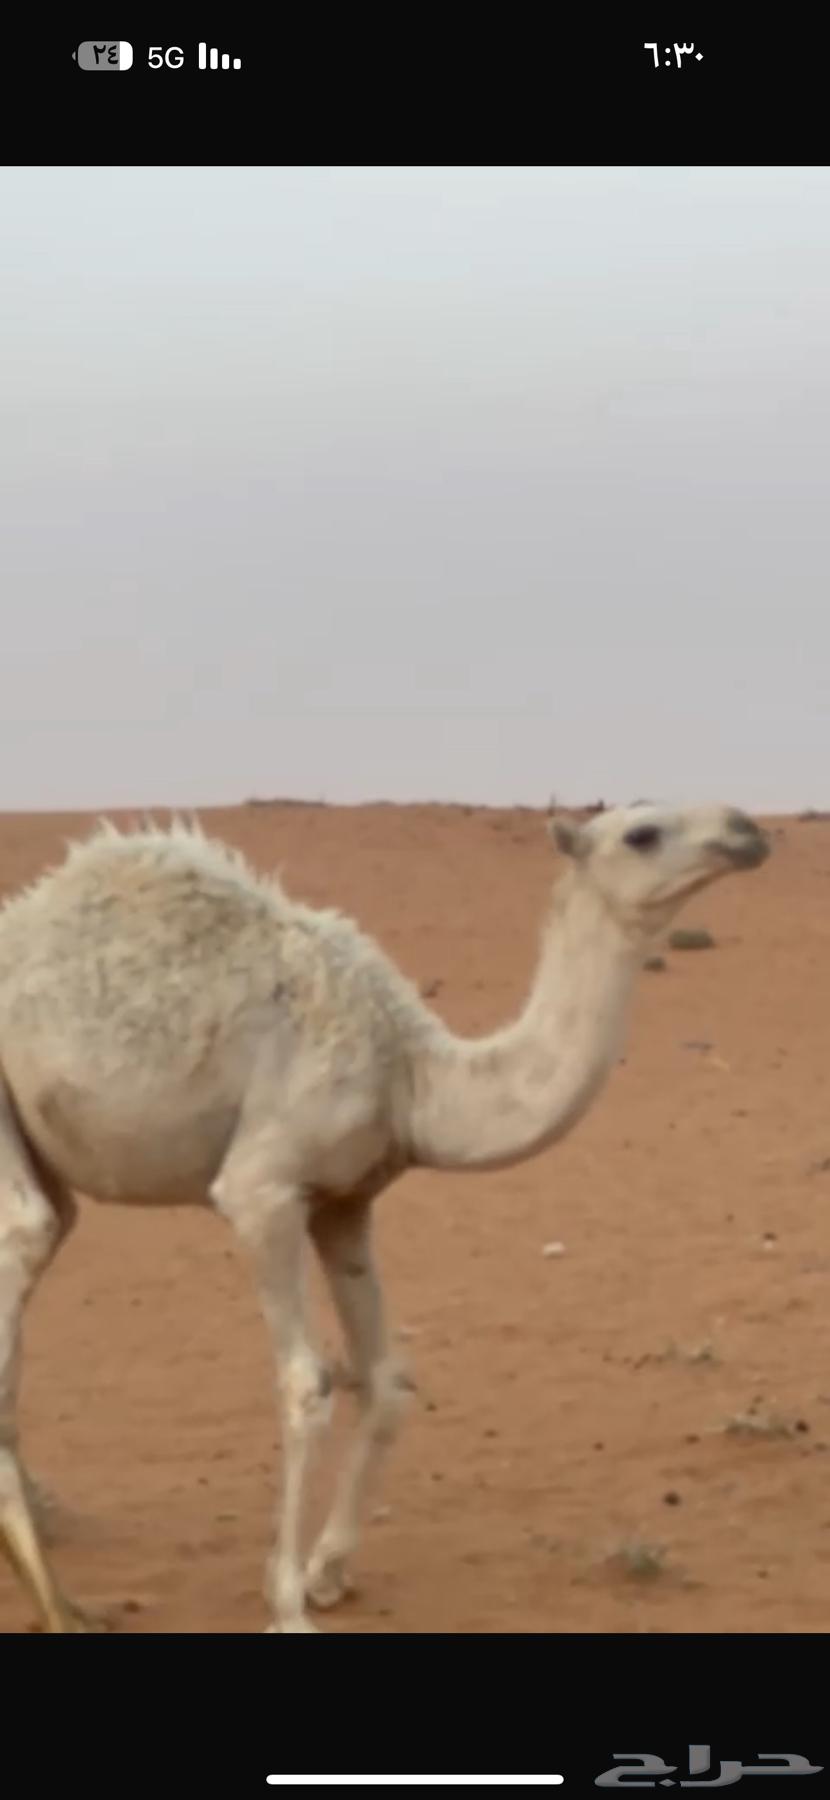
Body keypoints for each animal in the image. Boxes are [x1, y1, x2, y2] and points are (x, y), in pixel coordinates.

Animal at [0, 800, 769, 1633]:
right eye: (642, 833)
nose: (747, 829)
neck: (409, 1074)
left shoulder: (345, 1202)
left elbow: (387, 1377)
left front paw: (328, 1572)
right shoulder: (263, 1189)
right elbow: (306, 1384)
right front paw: (288, 1603)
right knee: (29, 1229)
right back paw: (60, 1605)